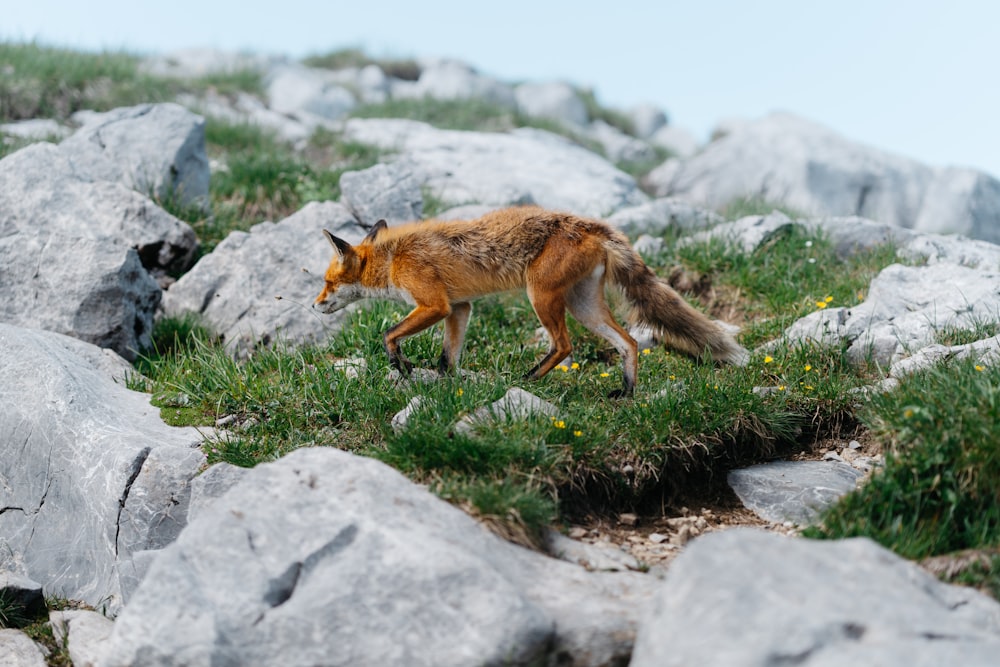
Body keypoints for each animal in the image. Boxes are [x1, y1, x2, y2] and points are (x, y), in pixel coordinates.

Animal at [316, 206, 748, 396]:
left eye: (326, 282)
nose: (314, 305)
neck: (393, 258)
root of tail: (590, 224)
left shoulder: (435, 305)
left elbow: (389, 334)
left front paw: (400, 363)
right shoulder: (460, 307)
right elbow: (447, 358)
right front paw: (448, 386)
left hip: (541, 297)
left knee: (564, 345)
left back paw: (527, 380)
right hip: (584, 306)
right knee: (627, 342)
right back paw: (626, 391)